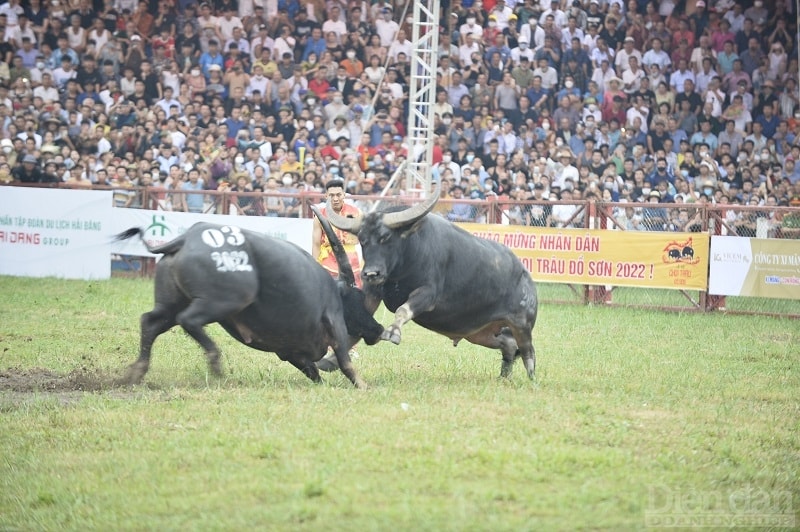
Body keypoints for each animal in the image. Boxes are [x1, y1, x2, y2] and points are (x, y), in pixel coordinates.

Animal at [115, 217, 384, 390]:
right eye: (358, 299)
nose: (378, 329)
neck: (333, 291)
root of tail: (186, 239)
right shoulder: (335, 322)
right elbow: (344, 360)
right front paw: (363, 385)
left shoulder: (289, 351)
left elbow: (313, 370)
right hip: (225, 301)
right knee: (188, 320)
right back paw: (215, 362)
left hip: (171, 305)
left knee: (150, 322)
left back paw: (136, 372)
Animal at [318, 181, 536, 380]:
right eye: (362, 240)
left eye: (385, 237)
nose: (371, 274)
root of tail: (526, 276)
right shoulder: (372, 293)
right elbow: (356, 326)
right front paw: (330, 360)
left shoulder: (428, 295)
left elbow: (402, 309)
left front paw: (393, 332)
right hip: (479, 332)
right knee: (508, 344)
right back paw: (504, 376)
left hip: (522, 324)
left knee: (528, 351)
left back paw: (531, 378)